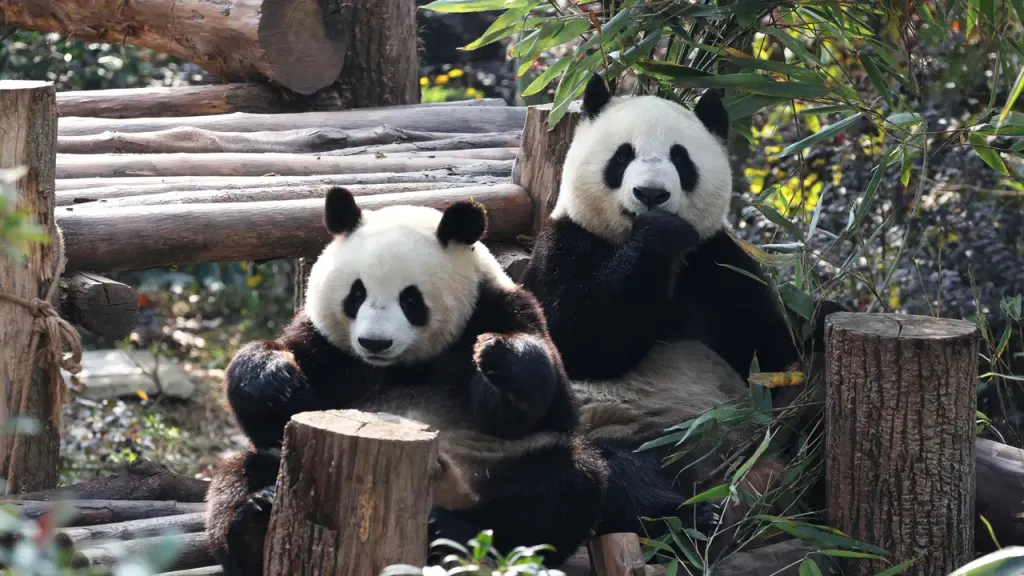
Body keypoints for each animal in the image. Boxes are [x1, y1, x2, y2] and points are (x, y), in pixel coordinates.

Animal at [204, 187, 616, 576]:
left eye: (410, 299)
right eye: (357, 293)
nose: (374, 342)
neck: (403, 363)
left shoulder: (499, 308)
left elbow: (539, 412)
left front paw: (499, 356)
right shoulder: (327, 347)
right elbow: (277, 417)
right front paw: (272, 376)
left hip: (498, 470)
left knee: (563, 487)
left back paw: (455, 532)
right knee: (238, 476)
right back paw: (254, 526)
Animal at [518, 74, 844, 553]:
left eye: (680, 158)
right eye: (622, 156)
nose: (651, 194)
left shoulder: (721, 265)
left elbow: (778, 351)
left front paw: (824, 315)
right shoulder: (562, 246)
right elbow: (578, 339)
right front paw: (661, 234)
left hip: (764, 431)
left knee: (812, 414)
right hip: (613, 433)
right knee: (606, 475)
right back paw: (693, 518)